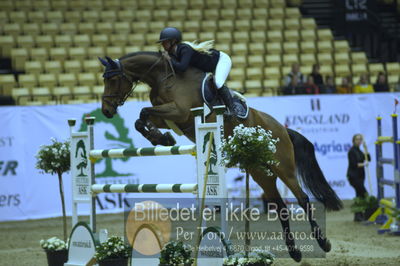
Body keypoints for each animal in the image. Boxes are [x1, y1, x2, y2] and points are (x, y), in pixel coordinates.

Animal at [98, 52, 342, 262]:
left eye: (113, 80)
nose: (106, 111)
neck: (163, 77)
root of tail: (282, 128)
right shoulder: (170, 116)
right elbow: (141, 119)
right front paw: (161, 138)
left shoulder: (180, 111)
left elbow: (144, 112)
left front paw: (161, 138)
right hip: (260, 173)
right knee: (280, 206)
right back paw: (295, 252)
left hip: (283, 166)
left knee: (303, 199)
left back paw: (324, 243)